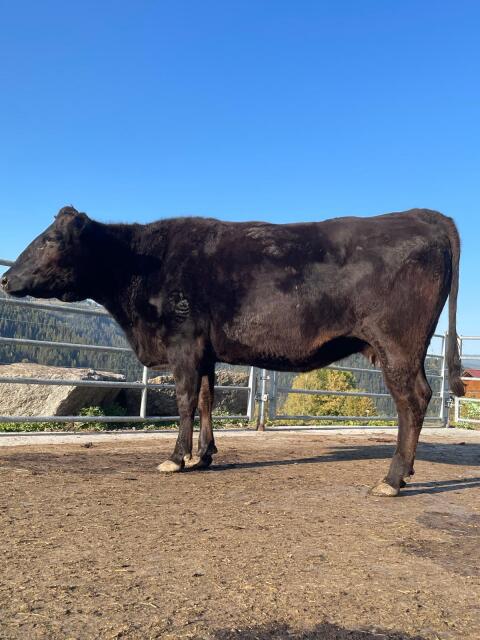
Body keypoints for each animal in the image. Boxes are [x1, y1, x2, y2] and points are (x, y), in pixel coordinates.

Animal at [1, 206, 465, 496]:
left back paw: (392, 478)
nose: (6, 279)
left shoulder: (183, 343)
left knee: (413, 400)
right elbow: (207, 399)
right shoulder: (205, 352)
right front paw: (204, 456)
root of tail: (423, 214)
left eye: (51, 239)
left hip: (396, 345)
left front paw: (176, 458)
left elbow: (185, 400)